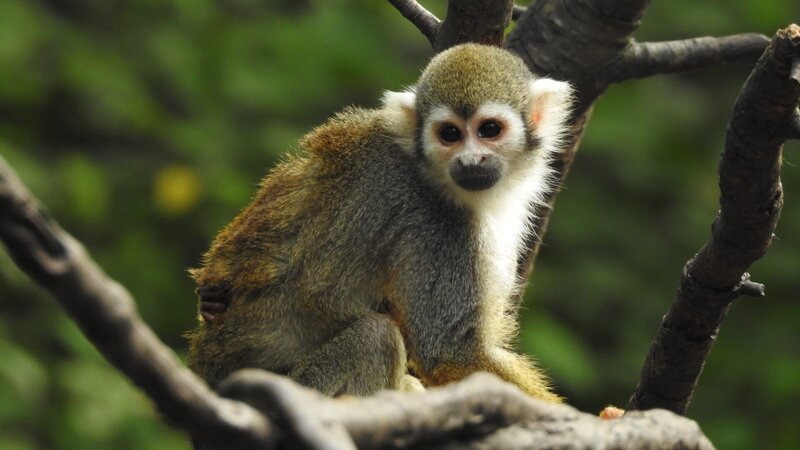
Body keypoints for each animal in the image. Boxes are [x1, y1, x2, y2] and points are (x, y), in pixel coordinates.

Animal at [186, 43, 573, 402]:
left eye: (490, 130)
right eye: (450, 134)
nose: (470, 161)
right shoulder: (436, 222)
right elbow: (451, 352)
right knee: (376, 337)